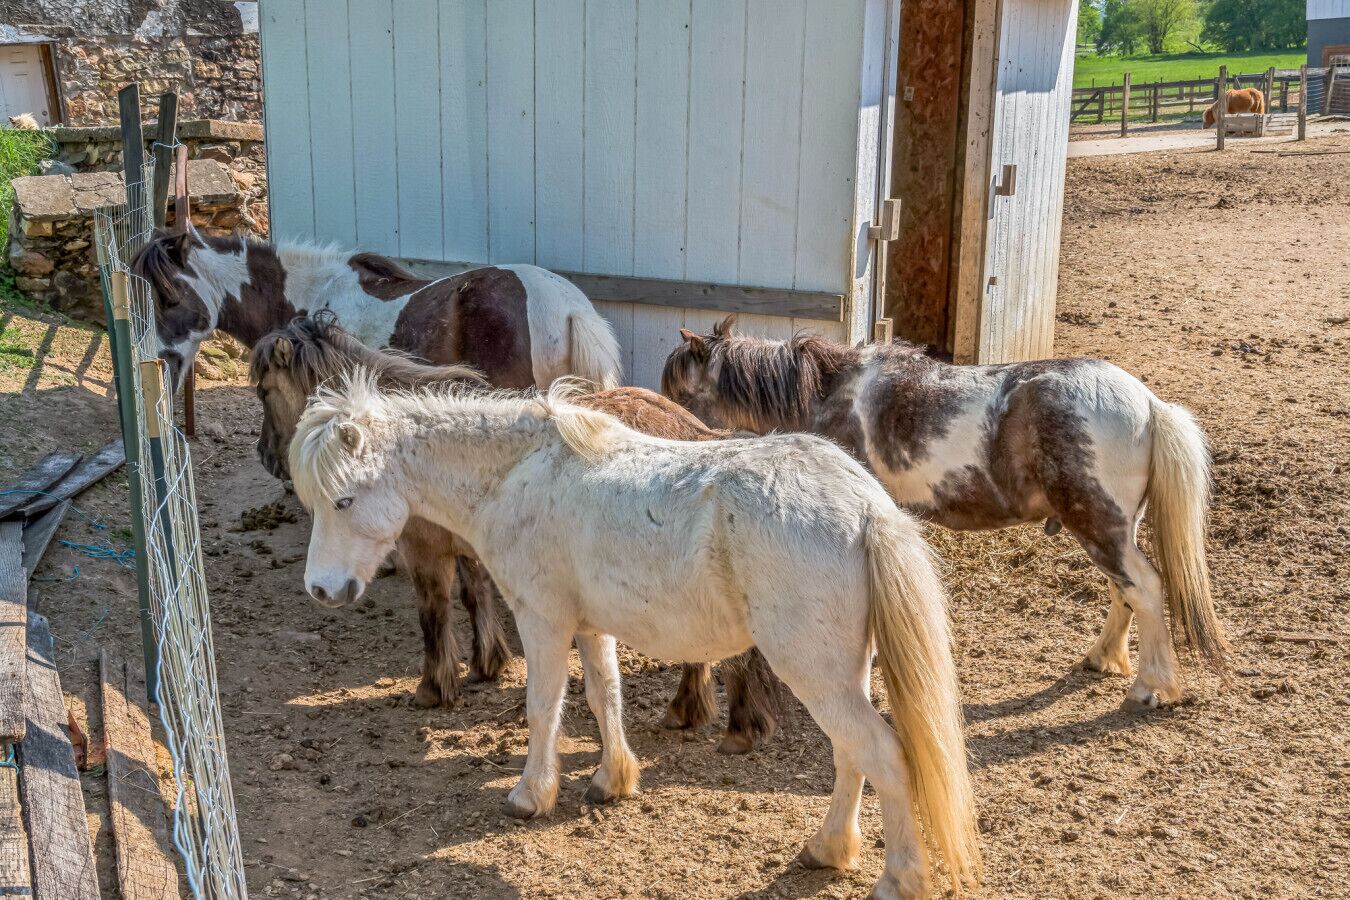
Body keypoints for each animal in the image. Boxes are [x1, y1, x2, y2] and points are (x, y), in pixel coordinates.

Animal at [251, 314, 782, 752]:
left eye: (264, 390)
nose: (268, 458)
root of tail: (694, 433)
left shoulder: (425, 551)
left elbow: (433, 612)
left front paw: (434, 686)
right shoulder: (470, 547)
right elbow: (475, 595)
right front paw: (488, 663)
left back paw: (735, 725)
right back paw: (690, 710)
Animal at [290, 375, 980, 897]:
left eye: (344, 501)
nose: (320, 590)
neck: (519, 474)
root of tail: (870, 508)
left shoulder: (542, 620)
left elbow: (543, 710)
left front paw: (530, 796)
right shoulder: (589, 626)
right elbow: (604, 697)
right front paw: (611, 781)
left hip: (814, 672)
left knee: (883, 756)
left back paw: (898, 879)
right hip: (841, 674)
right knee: (851, 755)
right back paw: (829, 848)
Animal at [663, 316, 1231, 711]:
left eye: (678, 390)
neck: (828, 394)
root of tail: (1148, 403)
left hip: (1099, 525)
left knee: (1145, 589)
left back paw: (1150, 688)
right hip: (1110, 528)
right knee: (1125, 591)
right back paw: (1103, 658)